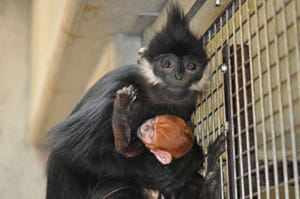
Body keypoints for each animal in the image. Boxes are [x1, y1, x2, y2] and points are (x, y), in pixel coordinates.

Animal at [45, 3, 216, 199]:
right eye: (166, 64)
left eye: (191, 66)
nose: (178, 76)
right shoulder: (118, 87)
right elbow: (69, 147)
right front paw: (160, 171)